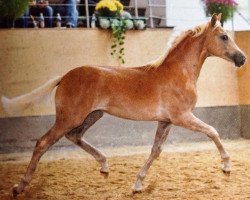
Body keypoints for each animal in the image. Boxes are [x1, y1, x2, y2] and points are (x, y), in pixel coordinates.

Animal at [0, 14, 246, 197]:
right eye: (224, 36)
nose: (242, 59)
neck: (178, 72)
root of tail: (64, 77)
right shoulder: (182, 117)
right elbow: (212, 131)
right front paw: (226, 167)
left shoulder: (165, 121)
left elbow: (155, 151)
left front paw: (137, 185)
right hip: (70, 117)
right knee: (43, 142)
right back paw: (19, 187)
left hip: (92, 115)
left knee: (75, 136)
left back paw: (104, 166)